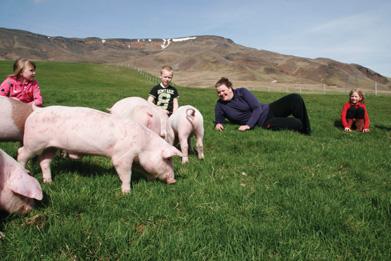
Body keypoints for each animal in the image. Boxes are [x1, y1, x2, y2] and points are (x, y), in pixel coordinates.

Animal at [17, 104, 184, 192]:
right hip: (33, 142)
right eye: (168, 160)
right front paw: (127, 192)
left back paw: (49, 182)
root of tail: (36, 110)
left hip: (51, 146)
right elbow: (126, 173)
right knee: (21, 153)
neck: (144, 145)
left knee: (44, 161)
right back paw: (25, 172)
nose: (174, 181)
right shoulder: (122, 156)